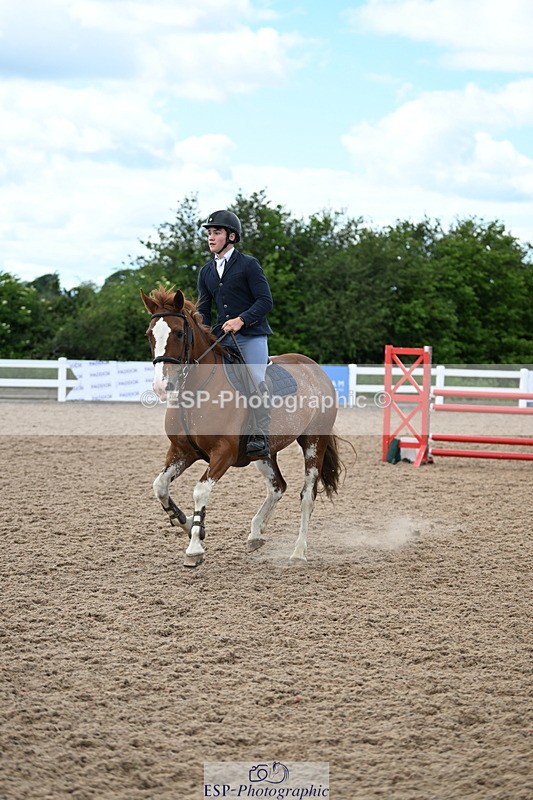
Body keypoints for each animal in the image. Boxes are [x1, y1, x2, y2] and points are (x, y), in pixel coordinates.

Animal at [141, 286, 344, 568]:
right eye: (150, 334)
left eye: (179, 333)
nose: (162, 386)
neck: (196, 392)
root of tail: (315, 369)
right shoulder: (182, 451)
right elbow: (159, 486)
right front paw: (186, 523)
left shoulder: (222, 453)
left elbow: (200, 491)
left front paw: (194, 547)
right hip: (265, 452)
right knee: (277, 486)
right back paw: (256, 533)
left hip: (314, 442)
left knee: (307, 496)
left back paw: (298, 551)